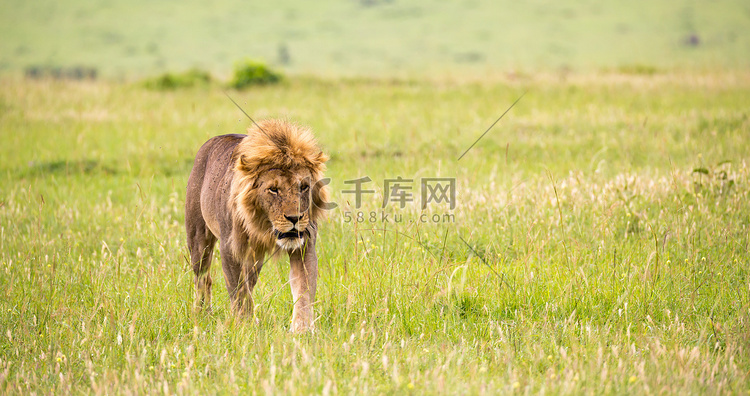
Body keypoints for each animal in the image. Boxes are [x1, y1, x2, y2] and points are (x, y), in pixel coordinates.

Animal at [185, 119, 328, 332]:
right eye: (273, 189)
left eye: (304, 187)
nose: (295, 218)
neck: (263, 225)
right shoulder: (229, 248)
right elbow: (238, 290)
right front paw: (244, 325)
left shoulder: (304, 247)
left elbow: (304, 288)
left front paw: (302, 330)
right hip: (198, 239)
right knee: (203, 277)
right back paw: (202, 313)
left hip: (254, 258)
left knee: (249, 280)